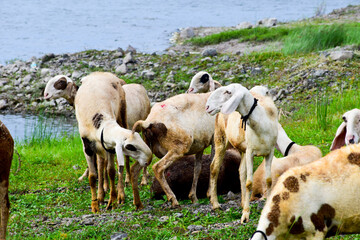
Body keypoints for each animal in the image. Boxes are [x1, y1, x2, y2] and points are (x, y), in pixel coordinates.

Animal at [73, 71, 152, 212]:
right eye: (130, 146)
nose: (149, 158)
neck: (100, 123)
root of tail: (102, 73)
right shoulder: (88, 146)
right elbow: (92, 176)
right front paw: (95, 206)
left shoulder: (110, 146)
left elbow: (111, 171)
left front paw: (113, 201)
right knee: (101, 164)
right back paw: (101, 195)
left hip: (122, 112)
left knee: (124, 161)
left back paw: (121, 193)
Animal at [205, 83, 278, 224]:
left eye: (228, 92)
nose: (207, 107)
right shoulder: (250, 152)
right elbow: (249, 183)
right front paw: (245, 215)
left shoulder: (269, 152)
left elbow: (268, 180)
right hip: (220, 139)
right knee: (214, 167)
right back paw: (215, 203)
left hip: (241, 148)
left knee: (241, 171)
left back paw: (243, 202)